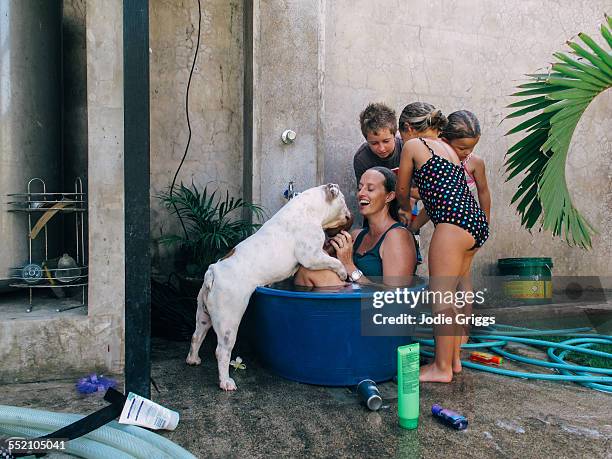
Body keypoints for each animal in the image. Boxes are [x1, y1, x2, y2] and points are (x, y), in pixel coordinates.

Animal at [184, 183, 352, 392]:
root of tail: (213, 271)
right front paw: (343, 272)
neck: (312, 207)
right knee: (222, 350)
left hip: (203, 313)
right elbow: (333, 261)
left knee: (196, 335)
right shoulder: (312, 256)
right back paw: (226, 382)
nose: (350, 214)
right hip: (229, 320)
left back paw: (193, 359)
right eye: (343, 200)